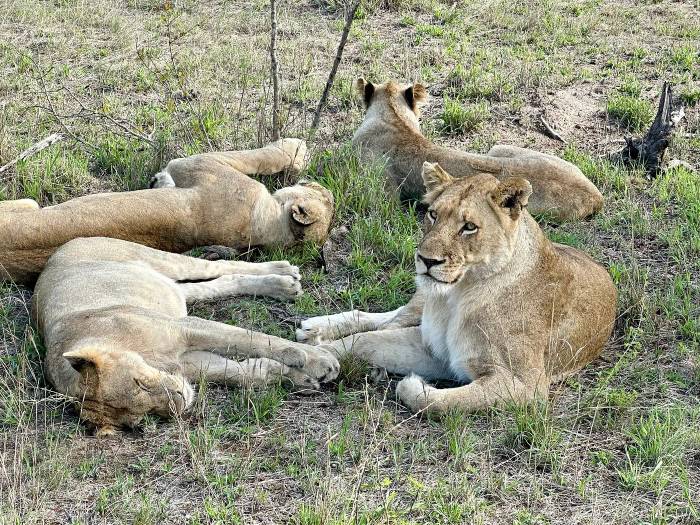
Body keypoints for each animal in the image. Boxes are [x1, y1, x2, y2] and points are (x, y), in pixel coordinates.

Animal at [1, 138, 334, 285]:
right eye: (316, 187)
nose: (313, 181)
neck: (269, 227)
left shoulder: (195, 163)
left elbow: (260, 156)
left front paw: (296, 146)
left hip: (27, 203)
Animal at [33, 236, 340, 436]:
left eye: (139, 383)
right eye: (141, 418)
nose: (180, 402)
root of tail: (59, 250)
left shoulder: (184, 326)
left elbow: (254, 339)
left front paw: (319, 360)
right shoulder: (190, 362)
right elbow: (245, 372)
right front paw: (300, 378)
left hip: (160, 259)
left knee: (219, 266)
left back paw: (284, 274)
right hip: (170, 287)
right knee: (218, 283)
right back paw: (281, 284)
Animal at [297, 162, 617, 414]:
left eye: (469, 227)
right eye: (432, 214)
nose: (426, 260)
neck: (456, 296)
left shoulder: (524, 384)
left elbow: (440, 401)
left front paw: (414, 385)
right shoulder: (433, 346)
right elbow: (365, 340)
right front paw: (316, 356)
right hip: (419, 303)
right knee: (390, 317)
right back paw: (314, 330)